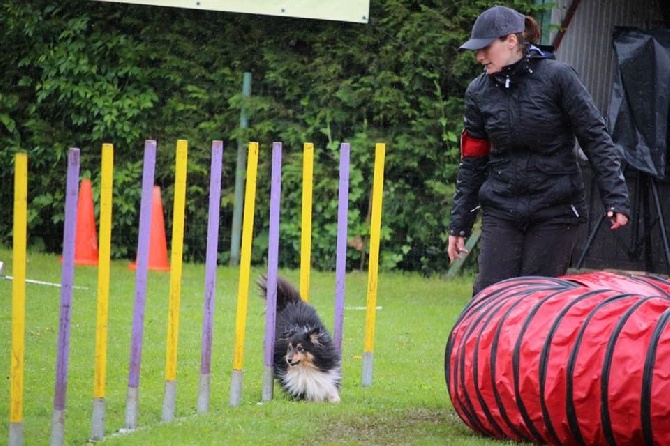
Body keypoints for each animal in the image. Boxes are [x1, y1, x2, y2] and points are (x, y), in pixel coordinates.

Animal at [258, 276, 342, 404]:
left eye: (300, 348)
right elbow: (301, 384)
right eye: (289, 348)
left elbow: (328, 384)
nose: (289, 360)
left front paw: (334, 398)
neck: (306, 367)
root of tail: (290, 302)